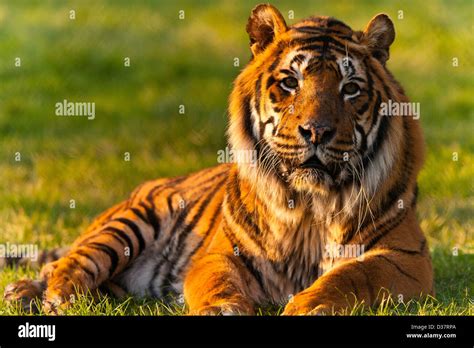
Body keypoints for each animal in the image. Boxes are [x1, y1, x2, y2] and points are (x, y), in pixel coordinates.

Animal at [3, 4, 434, 316]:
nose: (316, 131)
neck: (310, 205)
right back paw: (45, 295)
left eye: (351, 89)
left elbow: (352, 275)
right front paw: (221, 309)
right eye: (290, 82)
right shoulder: (221, 253)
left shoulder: (404, 256)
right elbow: (219, 281)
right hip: (130, 222)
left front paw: (309, 306)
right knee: (68, 263)